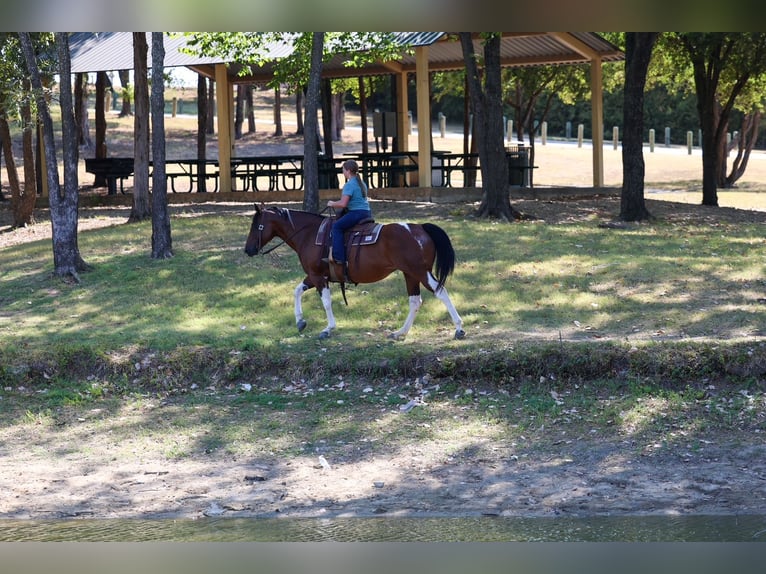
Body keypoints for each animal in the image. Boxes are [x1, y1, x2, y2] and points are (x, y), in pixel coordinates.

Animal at [244, 205, 465, 341]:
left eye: (257, 226)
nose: (248, 250)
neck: (309, 233)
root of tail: (420, 228)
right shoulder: (315, 275)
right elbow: (297, 290)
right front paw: (300, 321)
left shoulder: (318, 276)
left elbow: (326, 302)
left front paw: (328, 328)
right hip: (409, 273)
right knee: (415, 301)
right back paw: (400, 332)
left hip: (420, 271)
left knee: (440, 292)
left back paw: (459, 328)